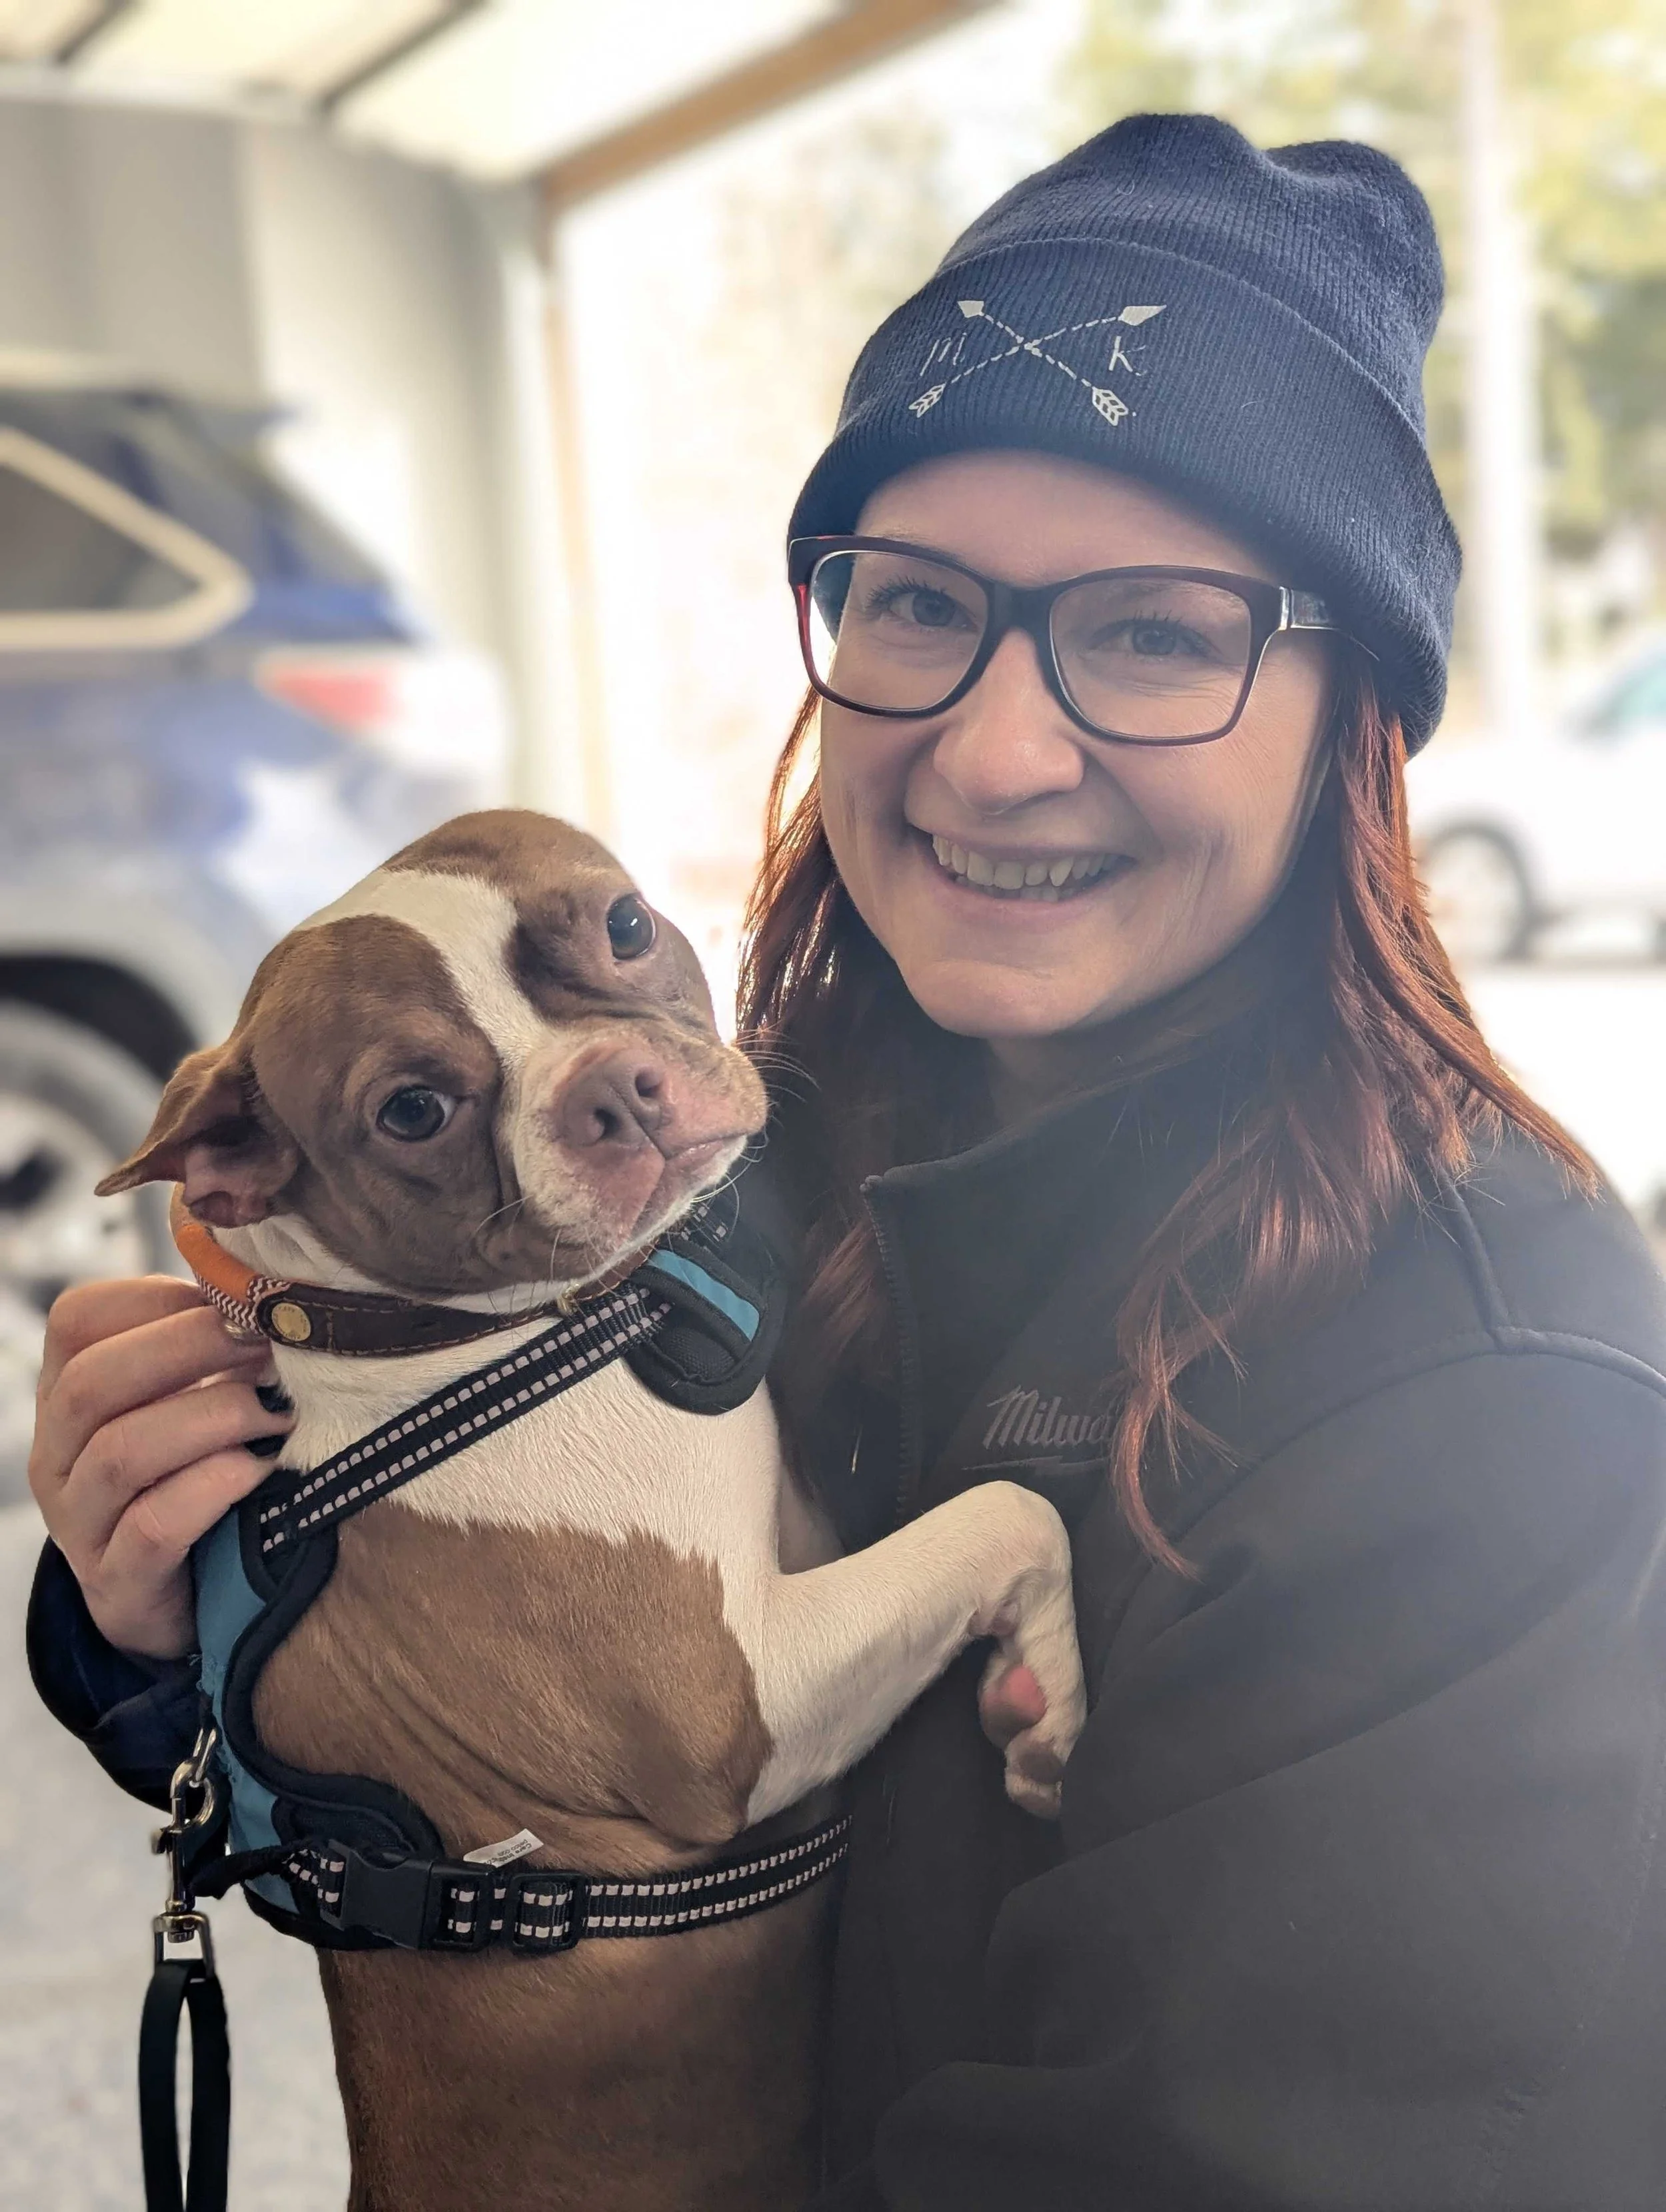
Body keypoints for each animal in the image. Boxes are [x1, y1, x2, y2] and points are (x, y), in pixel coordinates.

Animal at [100, 808, 1085, 2212]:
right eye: (414, 1111)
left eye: (623, 925)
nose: (616, 1087)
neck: (483, 1349)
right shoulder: (742, 1714)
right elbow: (1008, 1512)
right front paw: (1048, 1705)